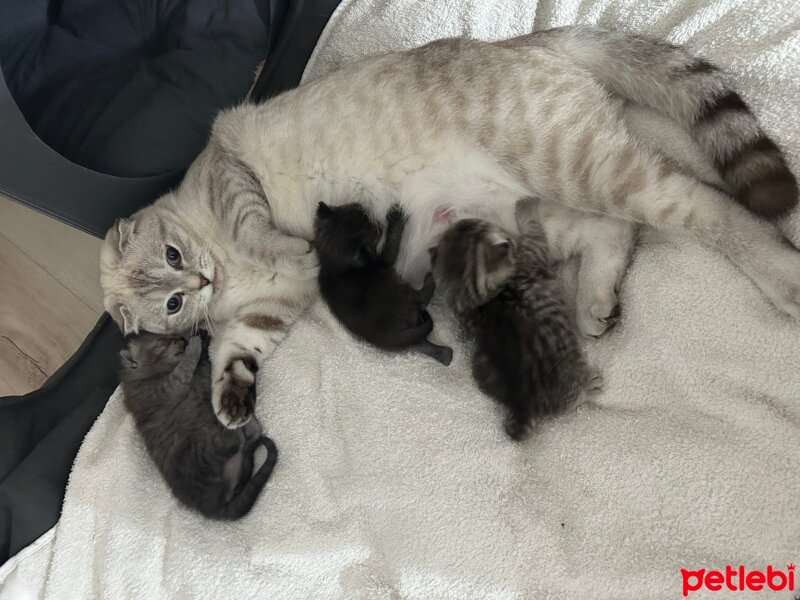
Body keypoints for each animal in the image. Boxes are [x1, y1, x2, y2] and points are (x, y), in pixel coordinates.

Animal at [119, 332, 278, 520]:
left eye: (171, 335)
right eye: (164, 341)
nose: (182, 339)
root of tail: (211, 506)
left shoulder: (199, 375)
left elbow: (205, 369)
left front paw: (202, 340)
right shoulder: (162, 390)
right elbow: (183, 370)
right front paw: (194, 347)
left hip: (242, 465)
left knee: (249, 443)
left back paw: (244, 422)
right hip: (200, 450)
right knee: (233, 442)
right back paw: (234, 426)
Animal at [314, 203, 454, 366]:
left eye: (356, 208)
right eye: (376, 230)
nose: (362, 205)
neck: (335, 264)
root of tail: (387, 337)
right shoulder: (383, 262)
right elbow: (391, 248)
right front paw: (395, 218)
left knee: (417, 343)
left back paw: (445, 355)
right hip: (399, 291)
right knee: (421, 303)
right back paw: (430, 278)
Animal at [432, 199, 600, 438]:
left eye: (470, 224)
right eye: (480, 226)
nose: (460, 218)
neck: (480, 296)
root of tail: (523, 405)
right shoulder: (532, 253)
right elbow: (533, 229)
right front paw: (525, 205)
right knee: (569, 402)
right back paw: (587, 389)